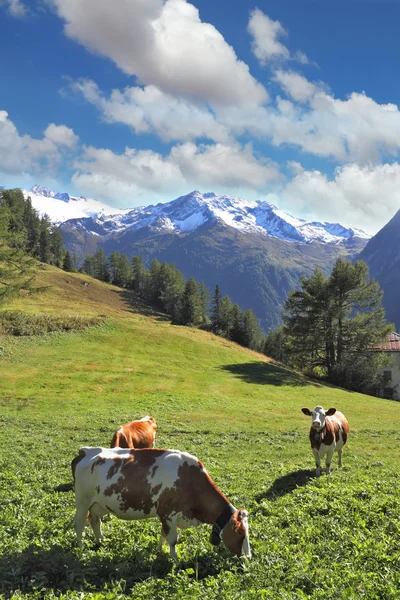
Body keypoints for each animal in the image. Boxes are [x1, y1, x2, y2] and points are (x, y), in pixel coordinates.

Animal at [71, 448, 252, 560]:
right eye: (241, 533)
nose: (249, 557)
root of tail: (85, 450)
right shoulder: (169, 513)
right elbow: (172, 539)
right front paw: (175, 560)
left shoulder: (166, 515)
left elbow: (163, 535)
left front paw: (159, 551)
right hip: (82, 501)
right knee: (79, 524)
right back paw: (80, 548)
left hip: (98, 504)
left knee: (95, 521)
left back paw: (102, 541)